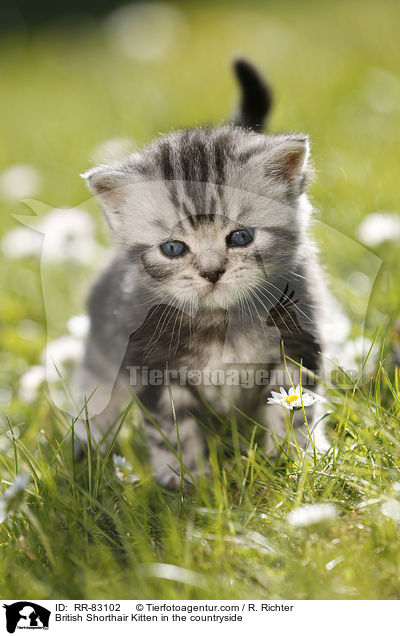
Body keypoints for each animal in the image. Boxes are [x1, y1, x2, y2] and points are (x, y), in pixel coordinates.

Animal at [79, 59, 328, 486]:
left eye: (241, 237)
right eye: (173, 248)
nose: (213, 272)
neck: (220, 324)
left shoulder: (298, 345)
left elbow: (293, 410)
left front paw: (295, 462)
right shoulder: (150, 366)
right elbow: (171, 430)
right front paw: (185, 484)